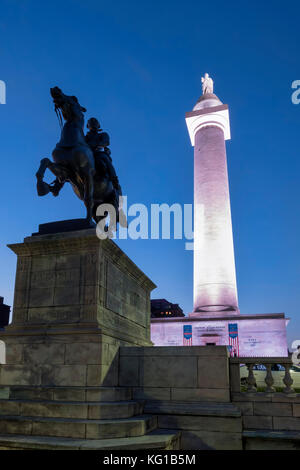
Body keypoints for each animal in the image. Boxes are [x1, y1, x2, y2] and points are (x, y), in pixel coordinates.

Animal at [35, 86, 95, 224]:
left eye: (74, 98)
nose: (56, 88)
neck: (71, 142)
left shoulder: (86, 172)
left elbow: (89, 199)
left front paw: (88, 221)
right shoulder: (67, 172)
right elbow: (45, 161)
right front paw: (41, 187)